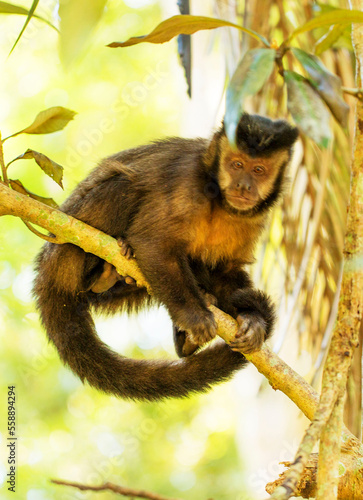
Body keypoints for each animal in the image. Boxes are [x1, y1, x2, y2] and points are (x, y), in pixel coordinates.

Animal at [32, 114, 298, 402]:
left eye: (258, 170)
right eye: (237, 165)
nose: (243, 186)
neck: (219, 200)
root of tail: (47, 268)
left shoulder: (254, 218)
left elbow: (225, 270)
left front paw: (252, 319)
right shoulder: (187, 179)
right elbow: (153, 244)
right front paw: (195, 317)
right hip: (68, 248)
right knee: (126, 185)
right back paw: (104, 273)